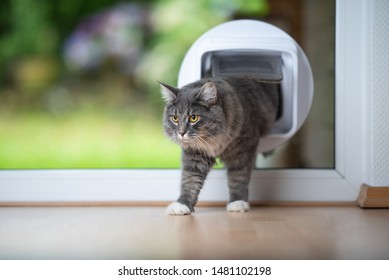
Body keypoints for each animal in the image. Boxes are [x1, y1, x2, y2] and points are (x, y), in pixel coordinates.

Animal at [160, 75, 278, 215]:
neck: (214, 140)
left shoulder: (243, 150)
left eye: (193, 118)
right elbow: (190, 180)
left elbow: (238, 177)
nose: (181, 133)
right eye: (175, 118)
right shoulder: (195, 155)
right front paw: (182, 204)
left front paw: (237, 202)